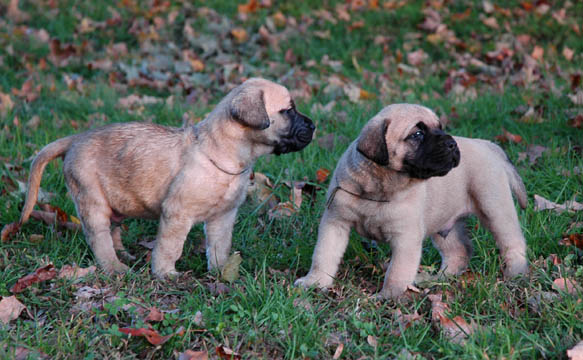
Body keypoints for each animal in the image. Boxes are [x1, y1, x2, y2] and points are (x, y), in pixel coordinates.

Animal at [13, 78, 314, 276]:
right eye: (288, 111)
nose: (313, 125)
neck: (224, 154)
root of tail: (75, 139)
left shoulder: (223, 217)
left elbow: (219, 247)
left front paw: (219, 272)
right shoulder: (177, 214)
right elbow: (170, 247)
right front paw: (165, 274)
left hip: (114, 201)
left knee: (113, 230)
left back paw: (124, 254)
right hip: (92, 200)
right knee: (99, 238)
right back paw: (115, 267)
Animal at [296, 103, 528, 298]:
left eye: (440, 128)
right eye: (417, 134)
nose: (452, 143)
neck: (379, 188)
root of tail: (487, 144)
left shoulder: (405, 237)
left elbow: (397, 271)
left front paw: (388, 297)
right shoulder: (336, 223)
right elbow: (323, 255)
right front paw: (315, 282)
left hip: (494, 207)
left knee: (512, 242)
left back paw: (515, 273)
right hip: (445, 225)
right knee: (459, 252)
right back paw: (439, 279)